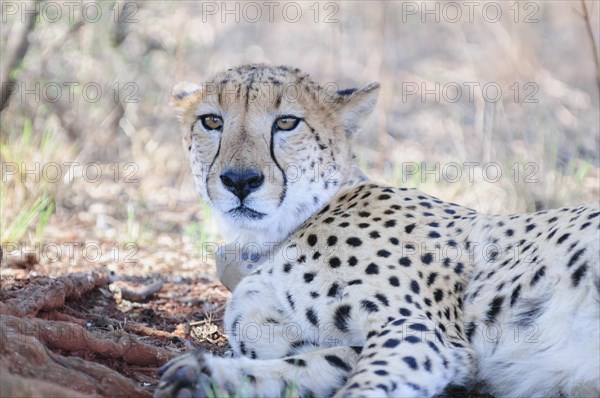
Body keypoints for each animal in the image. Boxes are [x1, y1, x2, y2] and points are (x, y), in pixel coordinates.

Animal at [156, 63, 600, 396]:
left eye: (286, 123)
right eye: (212, 121)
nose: (240, 180)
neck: (271, 238)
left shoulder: (420, 331)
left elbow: (365, 383)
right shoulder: (353, 345)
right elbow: (301, 365)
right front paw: (202, 374)